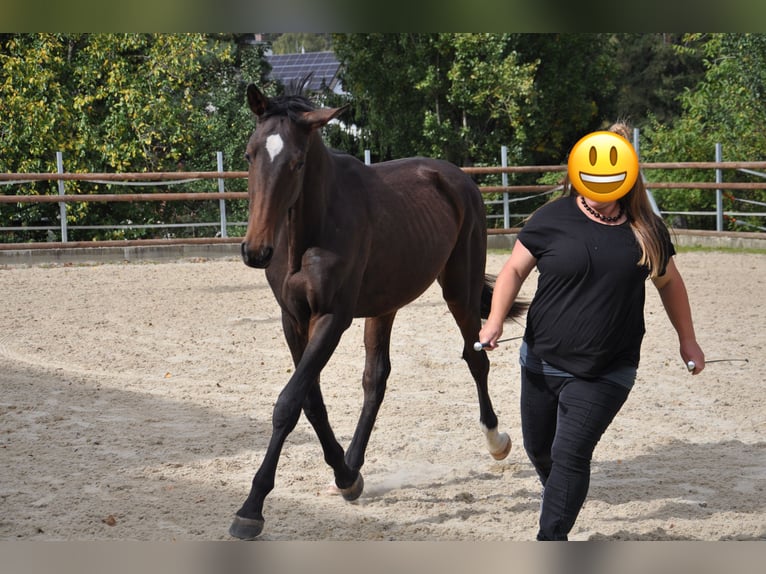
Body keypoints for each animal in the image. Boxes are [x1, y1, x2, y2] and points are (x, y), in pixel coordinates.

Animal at [231, 79, 524, 544]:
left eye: (297, 162)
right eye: (249, 154)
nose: (256, 251)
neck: (309, 233)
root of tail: (458, 178)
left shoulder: (332, 318)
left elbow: (289, 403)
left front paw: (251, 509)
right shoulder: (293, 320)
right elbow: (310, 402)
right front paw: (345, 477)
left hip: (458, 290)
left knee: (475, 358)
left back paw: (496, 440)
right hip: (384, 306)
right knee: (376, 380)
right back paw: (352, 466)